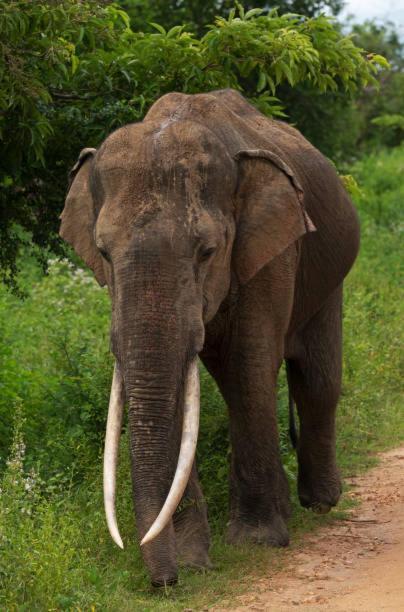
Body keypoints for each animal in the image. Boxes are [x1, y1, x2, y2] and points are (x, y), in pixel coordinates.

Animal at [60, 88, 360, 584]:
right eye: (102, 253)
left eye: (207, 251)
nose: (166, 583)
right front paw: (192, 560)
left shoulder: (269, 252)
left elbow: (250, 364)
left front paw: (257, 542)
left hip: (328, 271)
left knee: (315, 381)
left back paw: (319, 503)